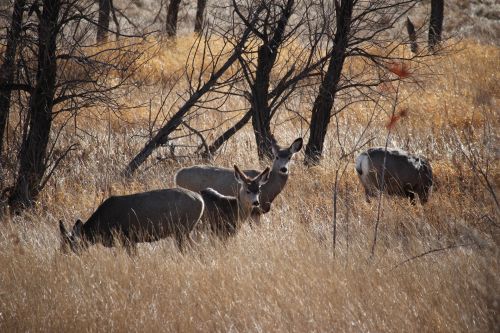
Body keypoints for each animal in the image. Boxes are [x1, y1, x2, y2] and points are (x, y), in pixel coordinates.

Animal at [59, 187, 205, 254]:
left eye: (71, 243)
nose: (62, 253)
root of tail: (201, 201)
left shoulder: (128, 238)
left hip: (182, 229)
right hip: (184, 231)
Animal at [174, 136, 302, 224]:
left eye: (289, 157)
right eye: (277, 157)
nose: (283, 169)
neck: (268, 187)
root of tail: (177, 175)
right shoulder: (255, 211)